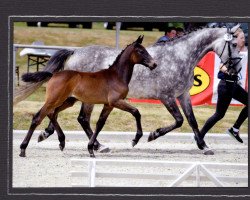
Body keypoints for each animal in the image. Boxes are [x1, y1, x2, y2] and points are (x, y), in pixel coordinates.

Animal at [29, 23, 242, 155]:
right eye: (233, 44)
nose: (237, 69)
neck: (180, 57)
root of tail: (75, 52)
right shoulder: (167, 96)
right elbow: (179, 120)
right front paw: (153, 135)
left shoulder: (183, 95)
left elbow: (192, 121)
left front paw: (204, 146)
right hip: (85, 99)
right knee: (81, 119)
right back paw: (98, 146)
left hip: (76, 97)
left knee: (64, 114)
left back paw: (49, 135)